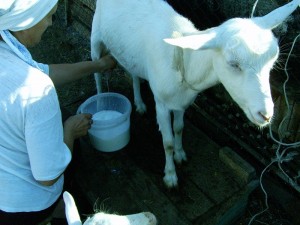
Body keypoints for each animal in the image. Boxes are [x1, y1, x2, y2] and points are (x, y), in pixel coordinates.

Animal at [91, 0, 300, 187]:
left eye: (273, 60)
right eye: (233, 64)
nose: (266, 115)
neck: (185, 60)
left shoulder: (182, 102)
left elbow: (179, 128)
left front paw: (180, 154)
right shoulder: (162, 103)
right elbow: (167, 141)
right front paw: (170, 175)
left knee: (133, 72)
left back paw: (140, 103)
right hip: (95, 37)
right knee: (96, 73)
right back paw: (101, 103)